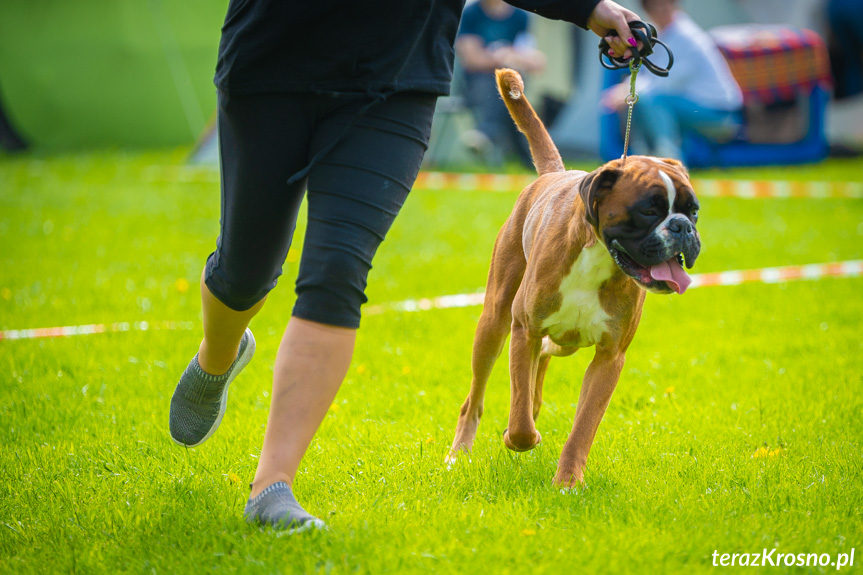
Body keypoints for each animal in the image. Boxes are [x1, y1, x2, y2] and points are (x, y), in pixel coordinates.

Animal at [448, 70, 700, 488]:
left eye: (693, 211)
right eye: (648, 211)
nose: (682, 227)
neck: (598, 258)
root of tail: (555, 173)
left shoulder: (609, 358)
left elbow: (584, 425)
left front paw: (567, 481)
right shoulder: (524, 329)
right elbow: (520, 424)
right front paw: (519, 436)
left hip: (563, 341)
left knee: (544, 360)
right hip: (494, 324)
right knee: (476, 397)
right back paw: (458, 454)